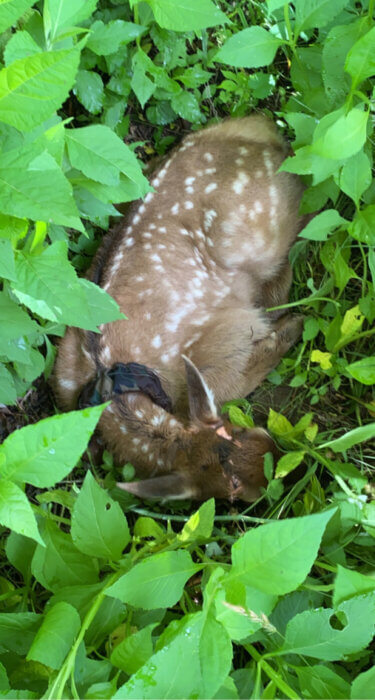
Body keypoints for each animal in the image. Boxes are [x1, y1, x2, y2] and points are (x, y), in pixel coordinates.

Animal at [52, 117, 306, 504]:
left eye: (242, 428)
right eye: (234, 496)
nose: (292, 468)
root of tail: (261, 128)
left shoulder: (228, 343)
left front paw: (293, 323)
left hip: (264, 231)